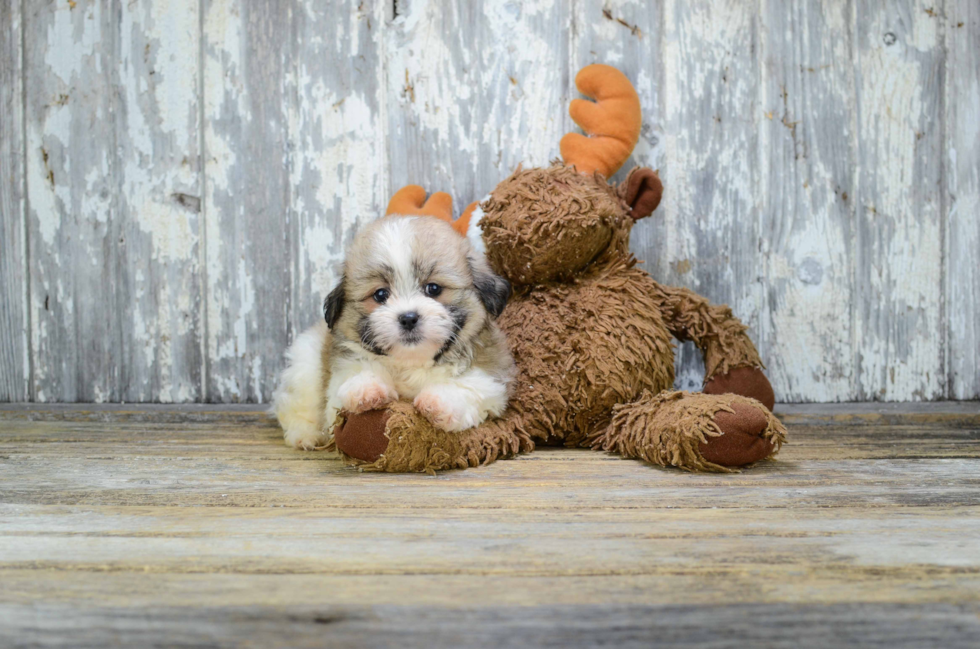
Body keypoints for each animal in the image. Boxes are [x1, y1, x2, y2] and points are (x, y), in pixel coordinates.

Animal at [268, 215, 512, 448]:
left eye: (433, 288)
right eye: (380, 295)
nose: (408, 318)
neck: (411, 362)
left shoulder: (492, 380)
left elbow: (469, 385)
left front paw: (439, 402)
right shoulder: (340, 375)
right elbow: (355, 372)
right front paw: (367, 389)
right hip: (304, 368)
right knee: (294, 407)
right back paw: (305, 435)